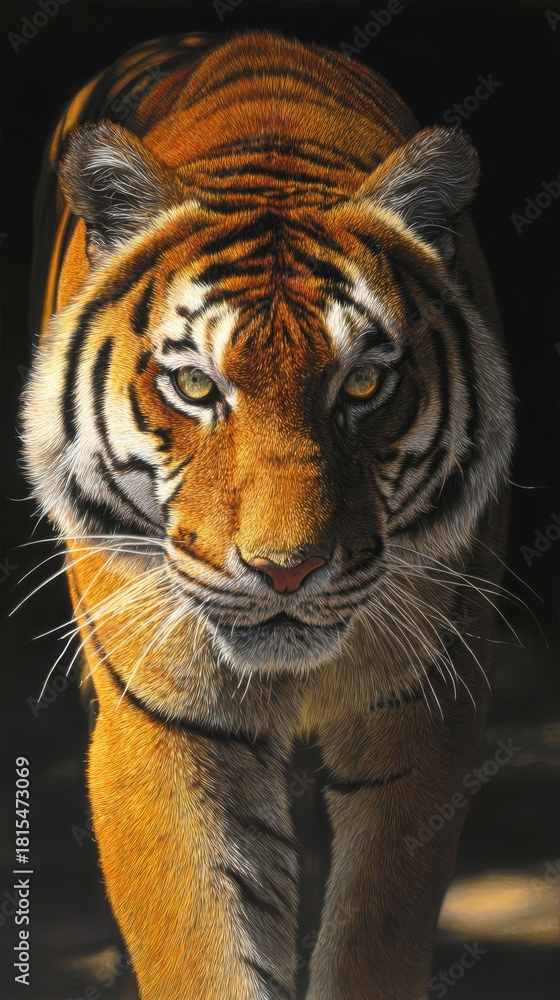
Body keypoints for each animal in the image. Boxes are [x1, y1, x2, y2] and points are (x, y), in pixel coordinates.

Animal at [21, 28, 514, 1000]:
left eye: (361, 385)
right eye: (194, 385)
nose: (287, 571)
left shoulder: (423, 709)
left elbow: (373, 934)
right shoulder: (162, 723)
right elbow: (204, 942)